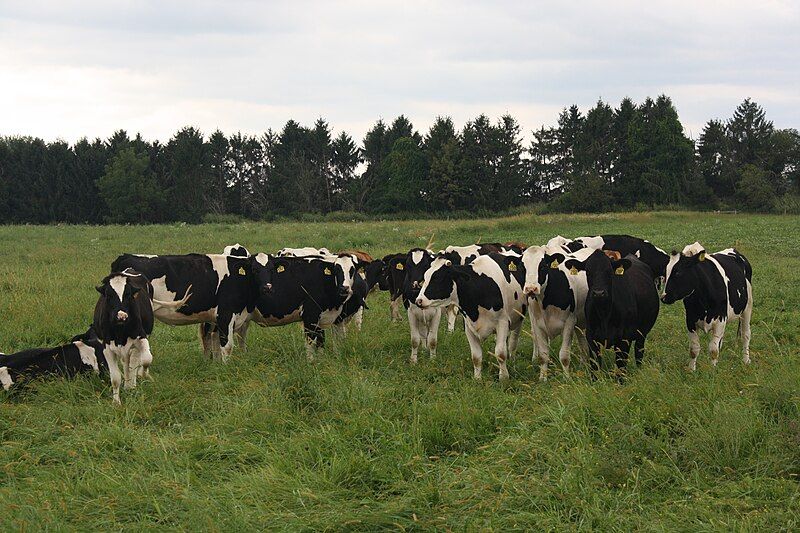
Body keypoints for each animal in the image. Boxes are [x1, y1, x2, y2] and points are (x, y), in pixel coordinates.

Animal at [416, 250, 528, 378]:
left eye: (437, 278)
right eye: (425, 276)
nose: (419, 301)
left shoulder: (503, 323)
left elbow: (500, 353)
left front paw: (504, 377)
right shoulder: (469, 326)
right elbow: (476, 356)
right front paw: (477, 378)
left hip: (518, 318)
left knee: (512, 343)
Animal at [520, 245, 596, 378]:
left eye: (543, 266)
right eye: (523, 267)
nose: (530, 289)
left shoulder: (569, 323)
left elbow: (564, 355)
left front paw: (567, 378)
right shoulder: (537, 324)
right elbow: (543, 355)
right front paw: (543, 378)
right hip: (580, 322)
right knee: (582, 342)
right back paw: (583, 365)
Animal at [660, 242, 752, 370]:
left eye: (678, 272)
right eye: (665, 273)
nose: (663, 297)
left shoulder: (720, 320)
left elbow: (713, 350)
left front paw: (712, 370)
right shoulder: (690, 320)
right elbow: (694, 349)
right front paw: (691, 369)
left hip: (747, 307)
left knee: (745, 334)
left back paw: (746, 360)